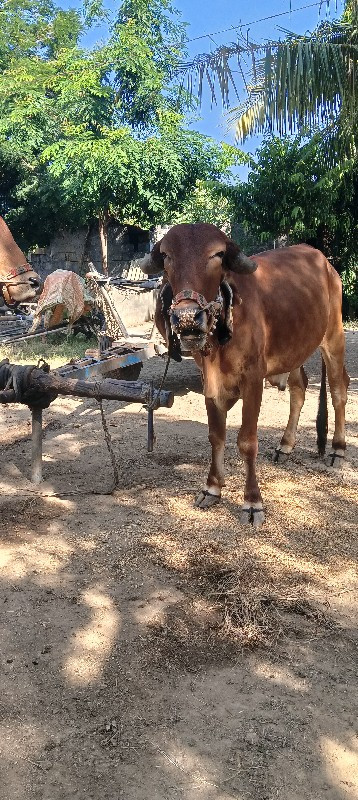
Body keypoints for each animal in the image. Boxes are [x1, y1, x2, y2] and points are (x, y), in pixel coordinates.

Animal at [141, 222, 350, 528]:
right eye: (167, 256)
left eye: (217, 254)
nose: (188, 317)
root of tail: (324, 262)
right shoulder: (209, 383)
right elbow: (216, 435)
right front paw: (212, 488)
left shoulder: (253, 380)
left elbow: (247, 441)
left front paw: (252, 502)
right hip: (295, 350)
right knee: (299, 389)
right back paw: (285, 445)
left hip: (333, 337)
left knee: (338, 391)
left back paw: (338, 448)